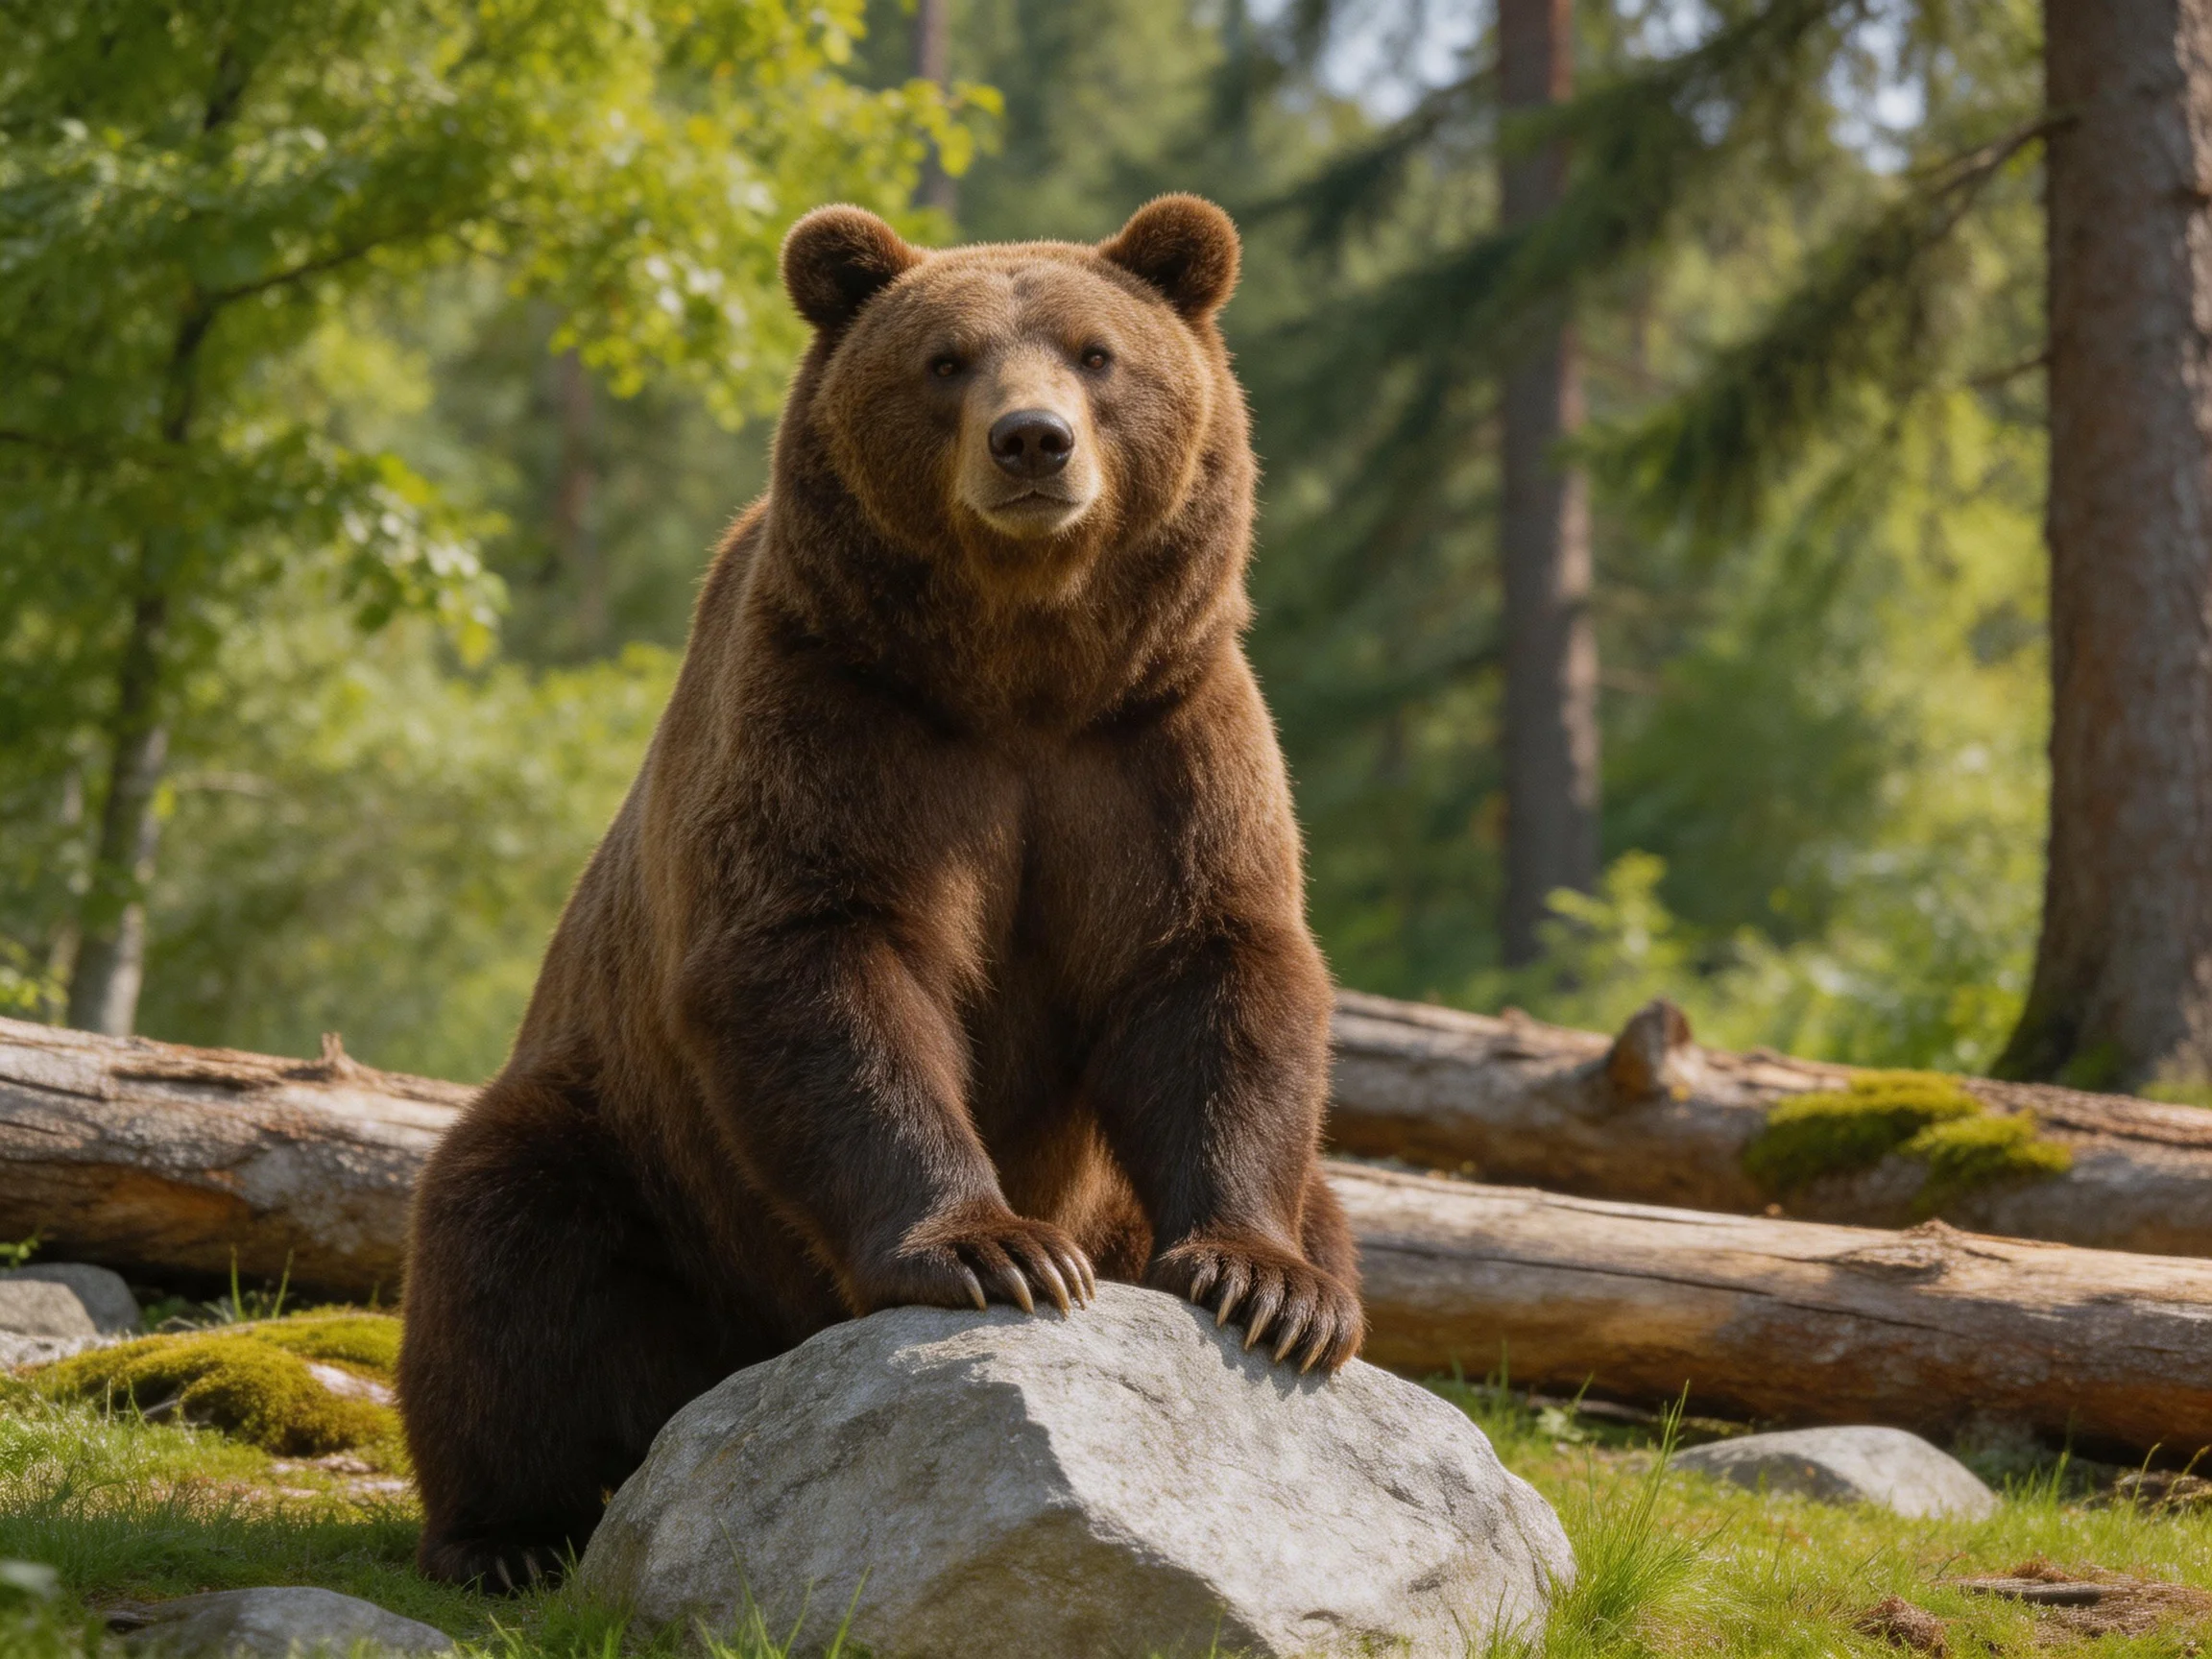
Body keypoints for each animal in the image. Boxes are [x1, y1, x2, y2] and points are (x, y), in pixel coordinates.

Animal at [395, 194, 1362, 1591]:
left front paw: (1263, 1288)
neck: (1019, 672)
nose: (1032, 441)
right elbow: (821, 959)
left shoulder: (1156, 739)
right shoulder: (838, 712)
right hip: (636, 1154)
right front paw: (996, 1250)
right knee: (505, 1255)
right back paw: (506, 1534)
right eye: (946, 360)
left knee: (1330, 1202)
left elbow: (1210, 965)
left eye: (1096, 353)